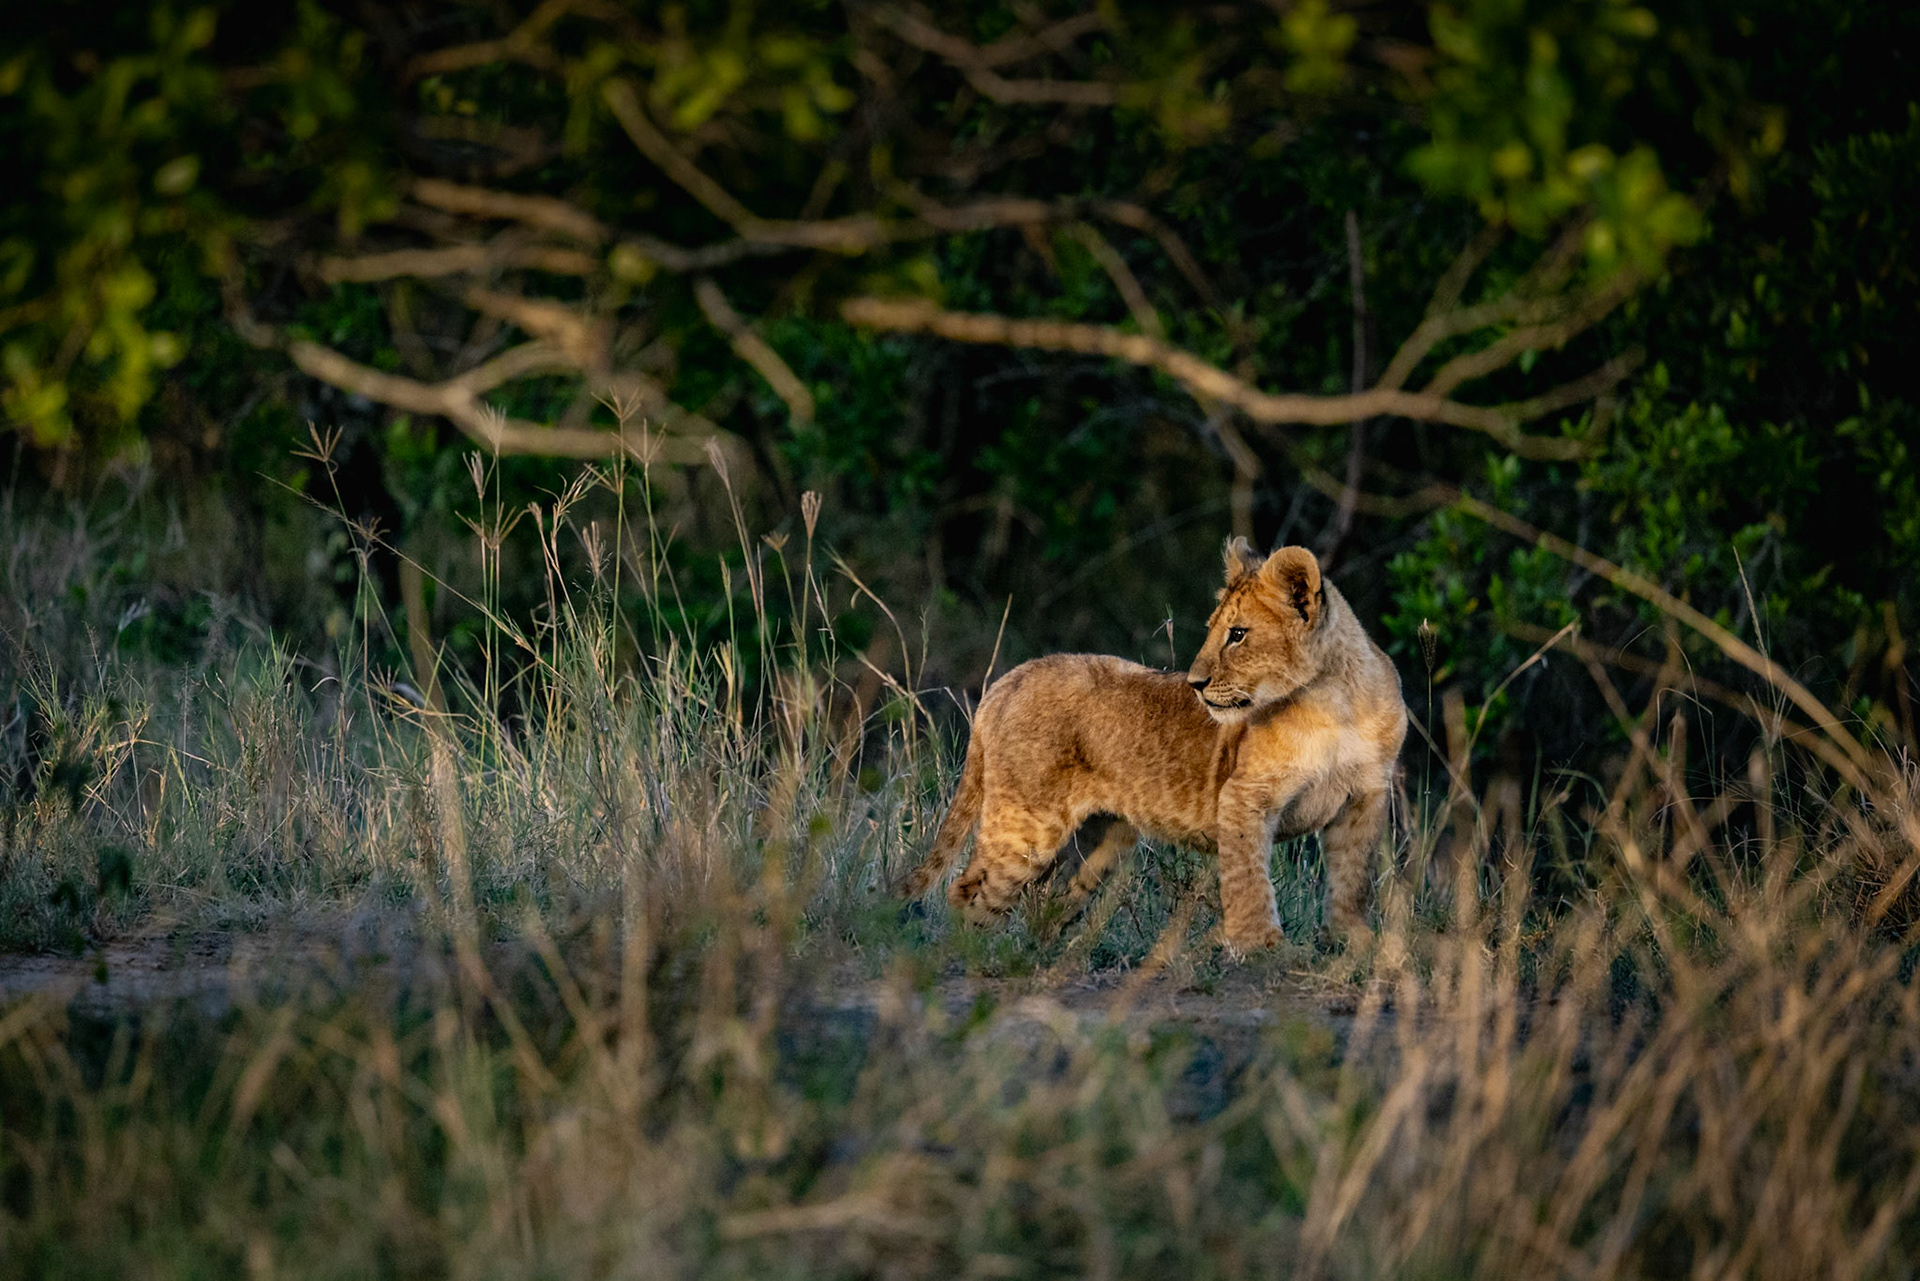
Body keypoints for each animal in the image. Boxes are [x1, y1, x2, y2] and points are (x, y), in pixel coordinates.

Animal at [902, 538, 1408, 954]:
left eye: (1238, 634)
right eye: (1215, 629)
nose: (1195, 684)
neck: (1334, 703)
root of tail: (1010, 678)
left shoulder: (1364, 797)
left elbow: (1351, 880)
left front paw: (1351, 945)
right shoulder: (1245, 797)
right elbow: (1249, 881)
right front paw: (1264, 948)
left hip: (1103, 838)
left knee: (1051, 897)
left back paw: (1043, 955)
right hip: (1027, 822)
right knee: (968, 889)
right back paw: (971, 957)